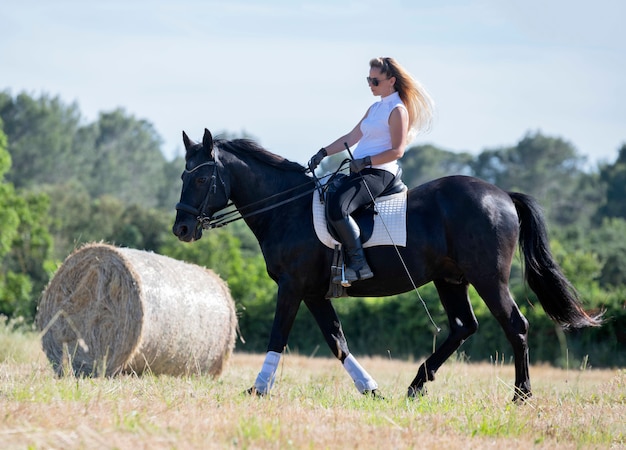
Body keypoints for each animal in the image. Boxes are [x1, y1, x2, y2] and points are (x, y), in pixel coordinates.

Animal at [172, 129, 600, 400]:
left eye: (200, 180)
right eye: (182, 176)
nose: (182, 228)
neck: (286, 208)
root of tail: (503, 196)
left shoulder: (292, 286)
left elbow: (279, 335)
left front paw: (258, 389)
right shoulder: (313, 292)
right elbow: (337, 341)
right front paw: (371, 389)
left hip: (488, 278)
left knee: (515, 325)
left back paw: (521, 395)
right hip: (450, 279)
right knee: (464, 326)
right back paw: (416, 385)